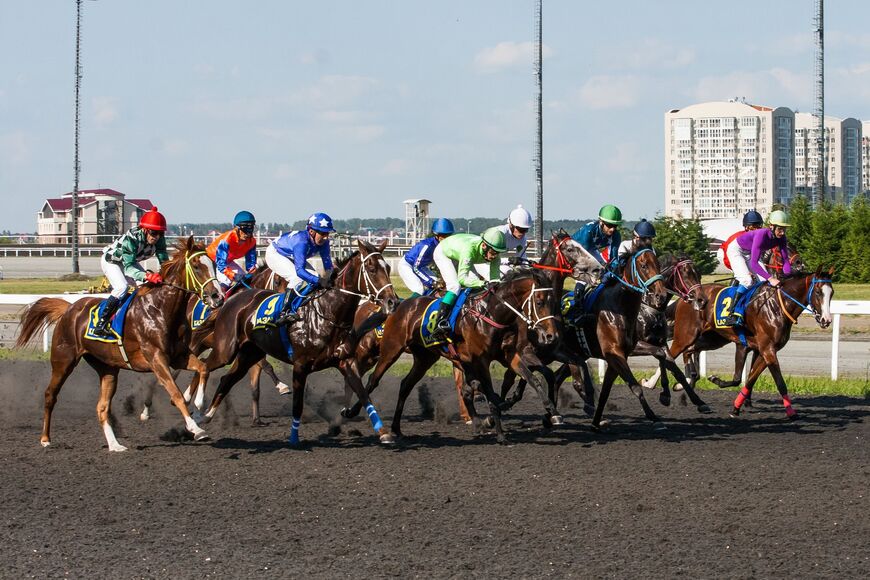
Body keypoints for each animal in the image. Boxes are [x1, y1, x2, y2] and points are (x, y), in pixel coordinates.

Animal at [16, 238, 225, 450]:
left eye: (213, 264)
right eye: (197, 266)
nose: (218, 297)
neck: (160, 309)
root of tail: (69, 308)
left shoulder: (179, 356)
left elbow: (203, 368)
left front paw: (198, 404)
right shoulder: (156, 358)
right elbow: (176, 394)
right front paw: (196, 429)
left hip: (107, 368)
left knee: (102, 407)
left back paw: (115, 445)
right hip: (63, 360)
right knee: (50, 395)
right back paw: (45, 439)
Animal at [192, 239, 400, 444]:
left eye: (388, 268)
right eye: (372, 269)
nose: (393, 301)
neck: (326, 313)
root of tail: (230, 300)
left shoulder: (345, 361)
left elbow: (364, 394)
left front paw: (383, 432)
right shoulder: (300, 365)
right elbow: (297, 405)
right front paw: (293, 438)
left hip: (249, 353)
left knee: (226, 379)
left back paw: (206, 416)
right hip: (225, 350)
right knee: (204, 366)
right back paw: (197, 410)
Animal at [340, 268, 560, 444]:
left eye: (553, 303)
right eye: (539, 302)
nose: (551, 335)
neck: (491, 314)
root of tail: (400, 305)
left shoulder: (510, 355)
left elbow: (532, 379)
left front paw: (552, 411)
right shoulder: (479, 360)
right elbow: (488, 393)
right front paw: (499, 432)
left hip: (425, 358)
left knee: (405, 385)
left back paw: (396, 428)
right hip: (390, 350)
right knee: (371, 381)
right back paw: (352, 412)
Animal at [668, 268, 836, 416]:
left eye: (832, 293)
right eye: (818, 292)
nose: (826, 320)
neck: (777, 305)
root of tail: (687, 297)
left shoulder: (764, 350)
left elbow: (748, 379)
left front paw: (736, 407)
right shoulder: (763, 349)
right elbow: (778, 383)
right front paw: (791, 412)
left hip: (712, 339)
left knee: (689, 351)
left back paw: (687, 387)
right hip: (685, 337)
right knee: (673, 354)